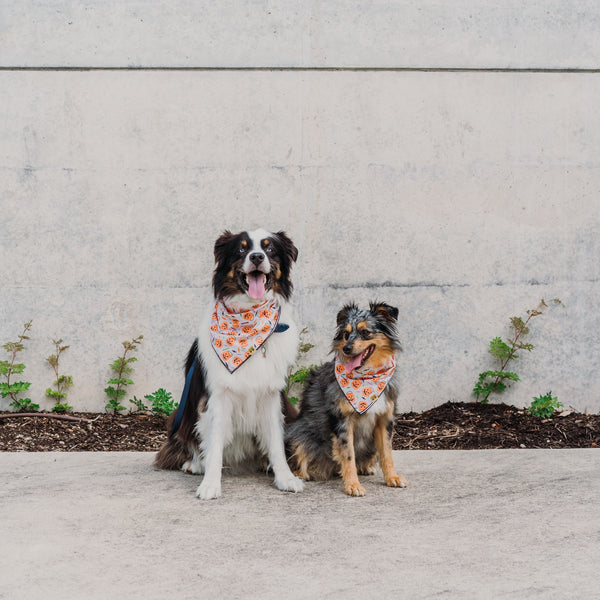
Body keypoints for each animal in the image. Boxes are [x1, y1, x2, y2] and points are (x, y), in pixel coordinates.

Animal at [155, 227, 304, 500]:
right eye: (241, 249)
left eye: (269, 248)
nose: (256, 257)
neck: (249, 316)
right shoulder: (217, 396)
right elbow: (214, 444)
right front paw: (211, 483)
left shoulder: (272, 396)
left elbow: (276, 443)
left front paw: (285, 478)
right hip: (184, 413)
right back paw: (196, 464)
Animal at [286, 302, 408, 494]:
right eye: (345, 333)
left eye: (365, 332)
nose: (346, 348)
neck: (366, 378)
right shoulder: (342, 420)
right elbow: (348, 454)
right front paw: (352, 485)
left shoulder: (384, 419)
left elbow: (387, 453)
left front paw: (392, 478)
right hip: (300, 433)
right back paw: (301, 474)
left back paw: (366, 467)